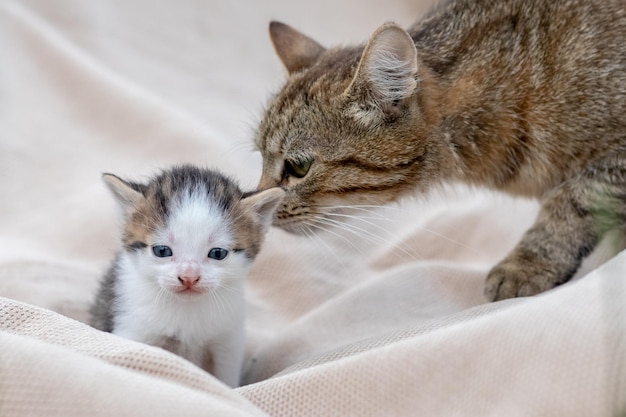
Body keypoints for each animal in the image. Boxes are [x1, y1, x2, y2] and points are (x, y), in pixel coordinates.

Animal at [89, 164, 282, 386]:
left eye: (218, 253)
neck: (187, 309)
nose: (189, 277)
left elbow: (225, 378)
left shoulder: (227, 341)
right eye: (162, 251)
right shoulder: (133, 328)